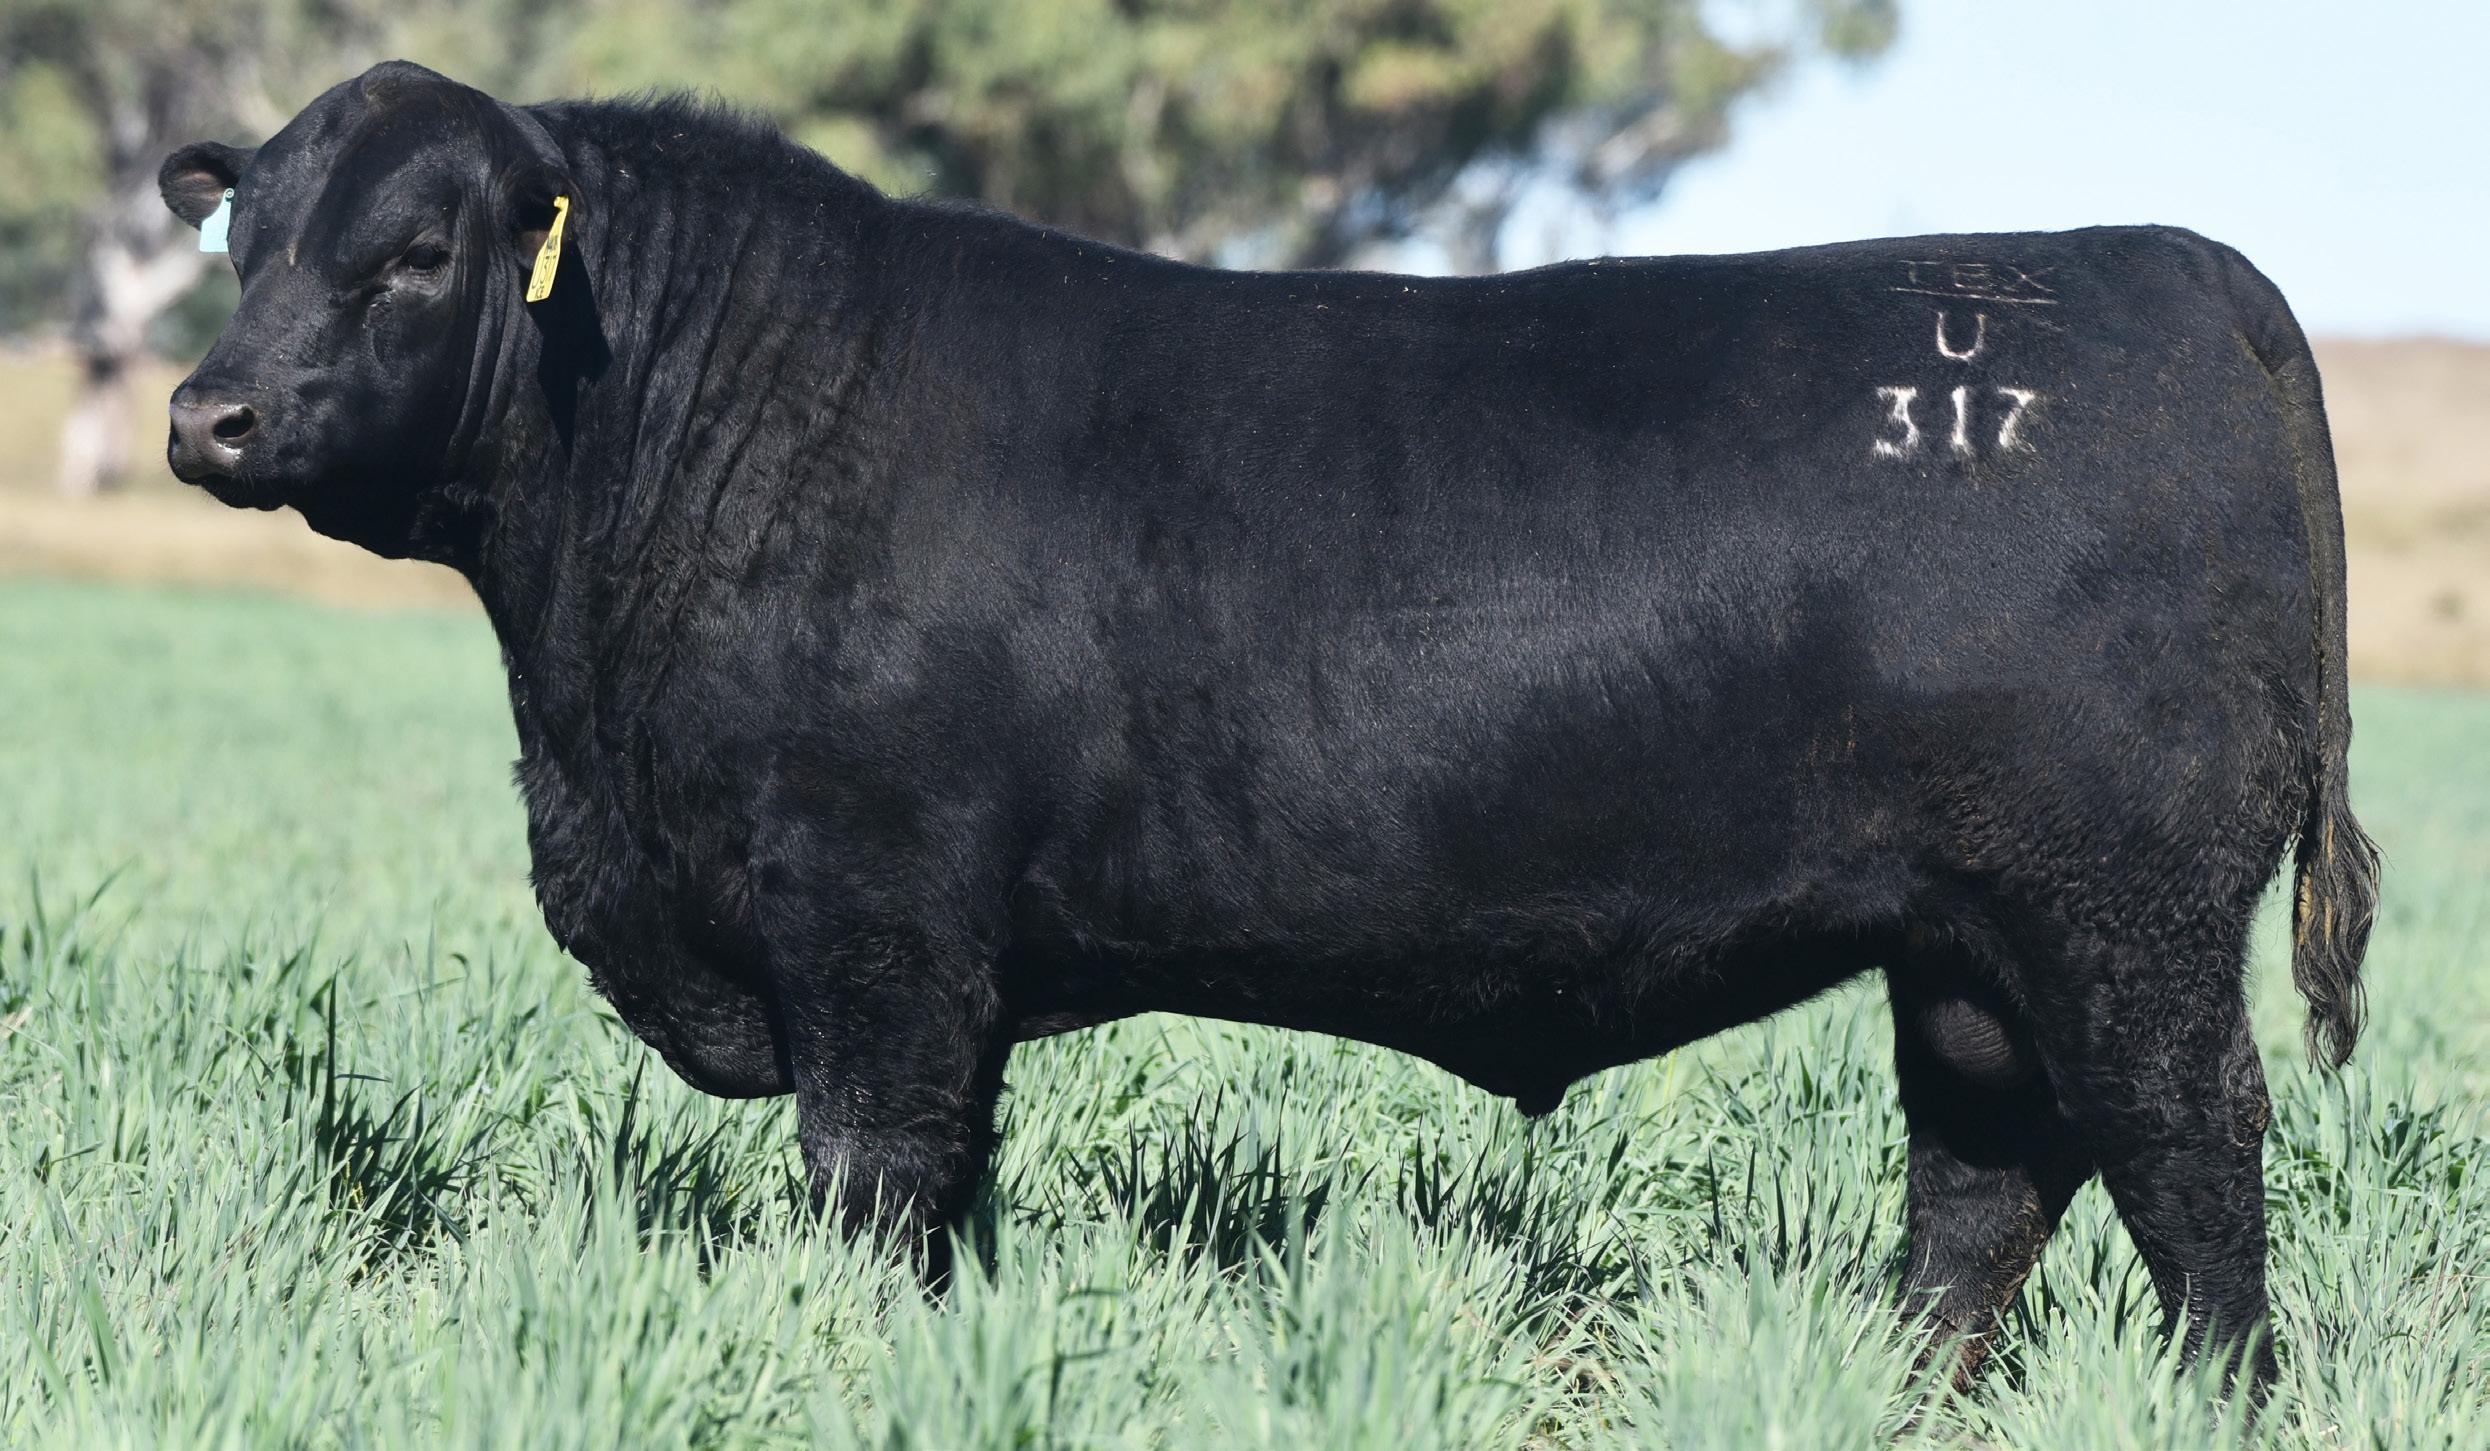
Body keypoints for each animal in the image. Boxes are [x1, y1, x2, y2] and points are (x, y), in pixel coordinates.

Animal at [160, 62, 2377, 1393]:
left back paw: (2220, 1400)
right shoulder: (932, 967)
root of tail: (2179, 271)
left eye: (416, 252)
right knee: (1985, 1175)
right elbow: (949, 1197)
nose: (207, 414)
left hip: (2124, 912)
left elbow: (874, 1189)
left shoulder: (873, 928)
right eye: (242, 236)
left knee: (2188, 1147)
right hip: (1974, 940)